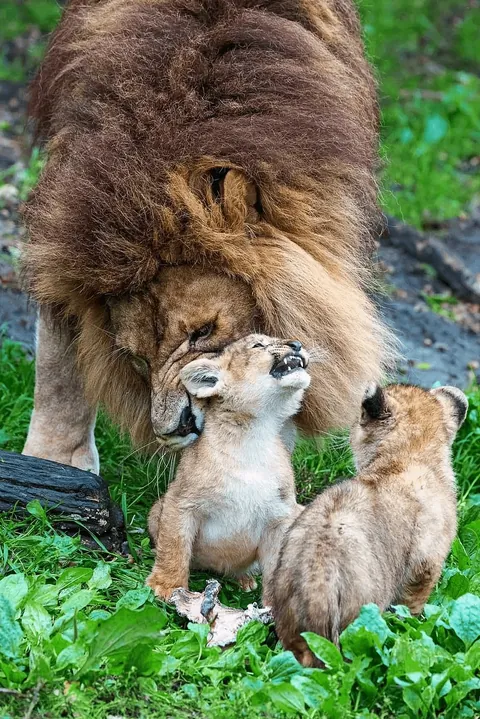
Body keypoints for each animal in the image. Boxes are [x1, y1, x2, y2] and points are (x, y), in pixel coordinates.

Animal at [22, 0, 392, 471]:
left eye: (203, 331)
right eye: (138, 360)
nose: (175, 428)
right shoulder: (62, 237)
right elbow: (58, 365)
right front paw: (53, 462)